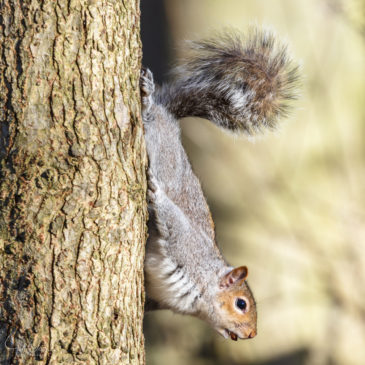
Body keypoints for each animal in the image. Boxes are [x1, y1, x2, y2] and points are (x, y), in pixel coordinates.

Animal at [141, 29, 298, 340]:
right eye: (241, 304)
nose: (251, 335)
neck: (198, 296)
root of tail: (171, 119)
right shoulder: (187, 248)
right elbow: (174, 219)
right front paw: (157, 192)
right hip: (159, 137)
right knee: (153, 117)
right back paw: (147, 97)